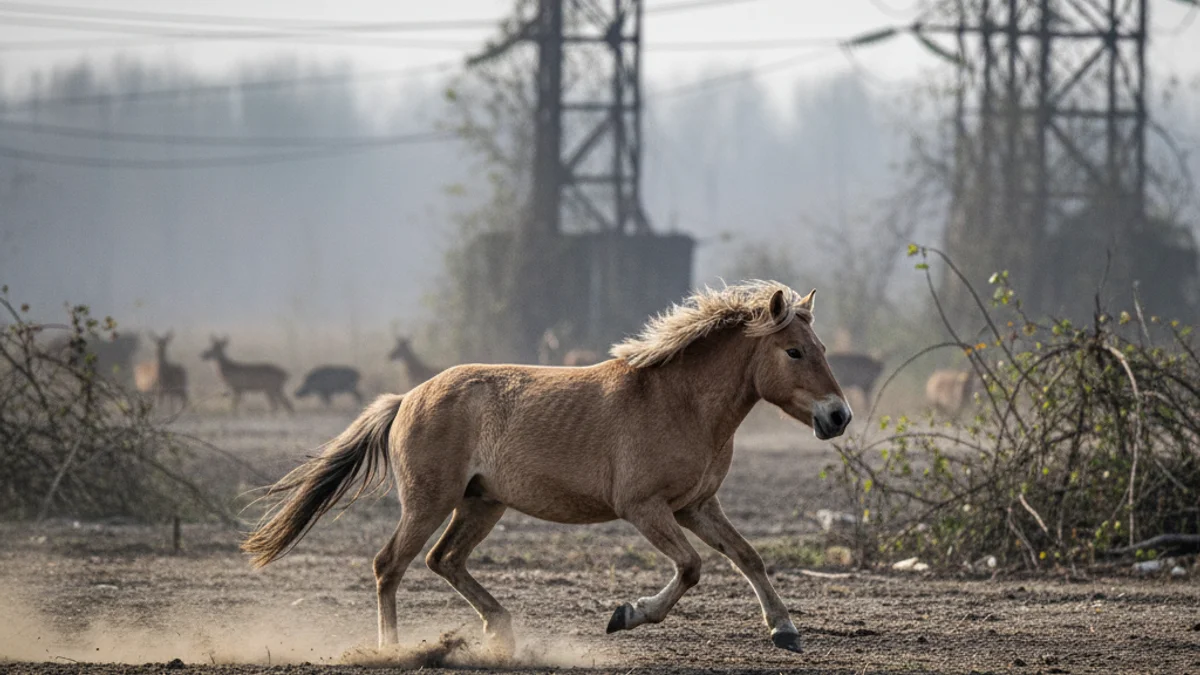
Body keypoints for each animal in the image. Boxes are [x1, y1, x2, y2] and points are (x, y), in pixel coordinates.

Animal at [243, 282, 851, 656]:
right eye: (795, 352)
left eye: (822, 347)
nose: (838, 416)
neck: (679, 401)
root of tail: (408, 397)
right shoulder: (645, 509)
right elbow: (691, 567)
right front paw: (625, 614)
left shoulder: (697, 506)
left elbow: (747, 557)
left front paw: (785, 630)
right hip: (429, 502)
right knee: (389, 565)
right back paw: (392, 650)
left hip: (481, 503)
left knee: (444, 560)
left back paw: (501, 630)